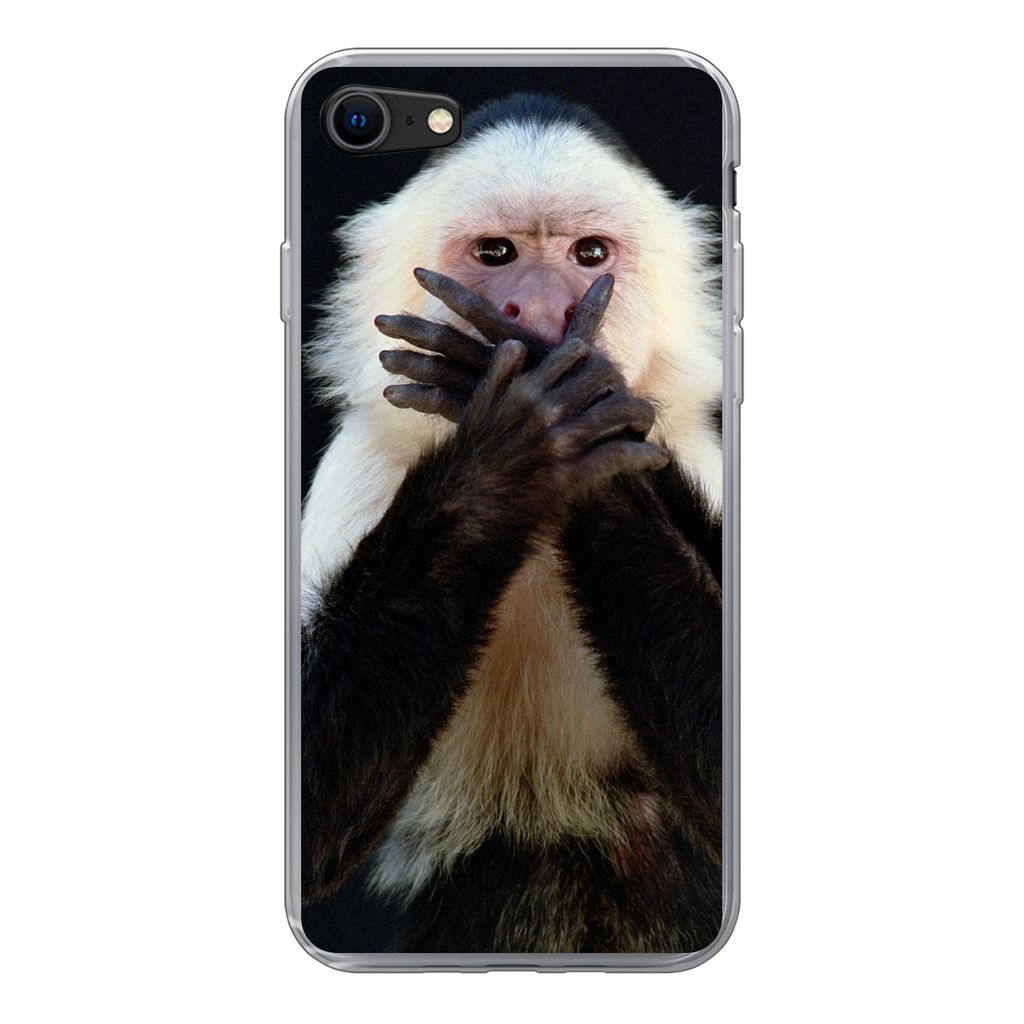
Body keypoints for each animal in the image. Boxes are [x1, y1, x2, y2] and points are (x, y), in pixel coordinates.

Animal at [300, 94, 724, 954]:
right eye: (496, 253)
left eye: (589, 254)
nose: (543, 314)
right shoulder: (361, 463)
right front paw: (520, 440)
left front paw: (580, 414)